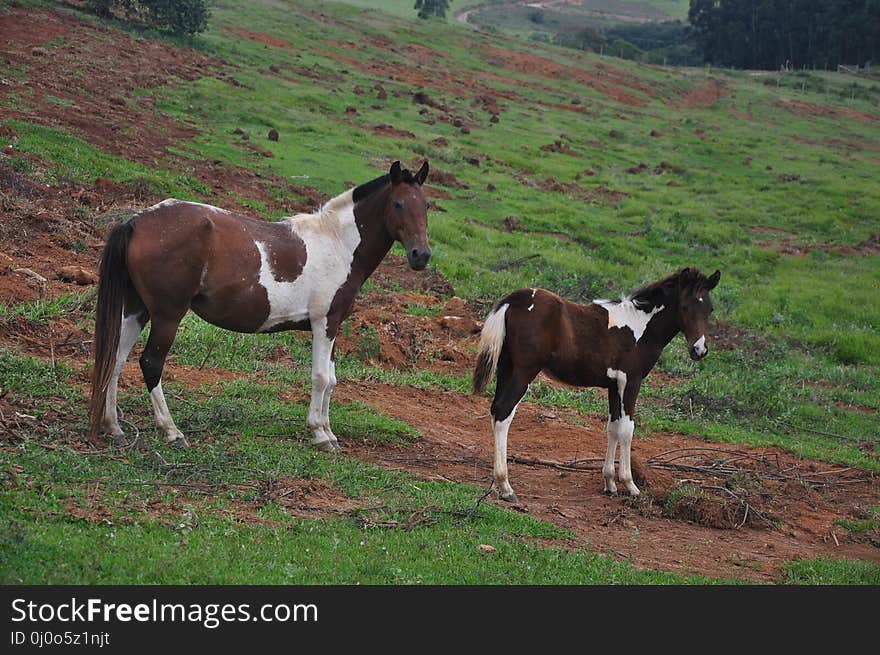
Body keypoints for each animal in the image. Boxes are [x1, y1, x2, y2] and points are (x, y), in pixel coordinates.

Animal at [87, 161, 432, 454]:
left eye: (425, 206)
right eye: (399, 204)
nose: (421, 255)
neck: (337, 243)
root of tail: (137, 221)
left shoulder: (333, 325)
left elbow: (332, 380)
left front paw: (329, 432)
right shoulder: (324, 322)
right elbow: (321, 377)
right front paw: (319, 433)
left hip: (138, 310)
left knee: (116, 359)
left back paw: (114, 426)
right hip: (166, 315)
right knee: (151, 363)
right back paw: (172, 431)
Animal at [470, 266, 720, 502]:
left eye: (709, 309)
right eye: (685, 307)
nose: (699, 350)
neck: (641, 327)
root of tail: (515, 298)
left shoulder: (613, 385)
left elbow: (613, 427)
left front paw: (609, 483)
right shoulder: (631, 381)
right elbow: (627, 429)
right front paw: (630, 484)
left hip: (506, 367)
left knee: (495, 409)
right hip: (524, 371)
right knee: (504, 412)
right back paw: (506, 486)